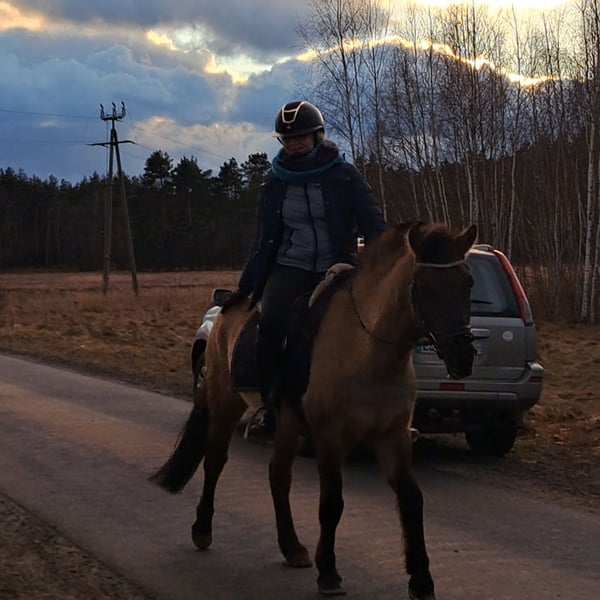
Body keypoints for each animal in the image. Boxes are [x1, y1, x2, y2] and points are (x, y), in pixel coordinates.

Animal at [150, 221, 477, 600]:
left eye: (468, 283)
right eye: (424, 286)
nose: (463, 356)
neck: (368, 352)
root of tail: (227, 308)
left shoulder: (392, 437)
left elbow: (412, 499)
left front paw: (422, 581)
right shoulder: (330, 439)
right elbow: (332, 503)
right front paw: (329, 573)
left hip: (289, 426)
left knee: (278, 475)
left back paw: (292, 547)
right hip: (224, 404)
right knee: (215, 461)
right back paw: (202, 529)